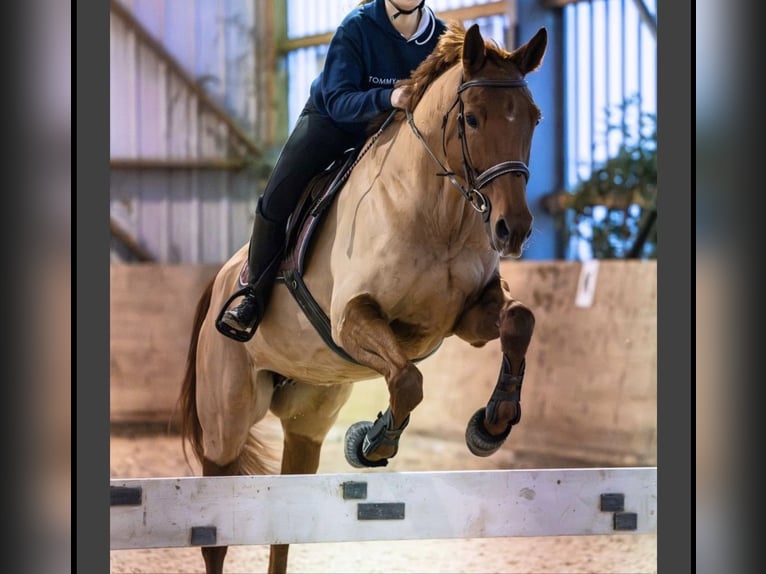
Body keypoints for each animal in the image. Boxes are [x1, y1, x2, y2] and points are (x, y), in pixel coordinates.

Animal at [179, 22, 547, 574]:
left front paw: (493, 422)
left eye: (533, 118)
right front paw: (373, 442)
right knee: (215, 532)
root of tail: (219, 282)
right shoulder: (353, 318)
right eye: (473, 118)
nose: (513, 230)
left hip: (307, 420)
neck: (438, 214)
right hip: (226, 423)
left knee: (286, 520)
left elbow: (519, 320)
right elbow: (408, 380)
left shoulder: (466, 317)